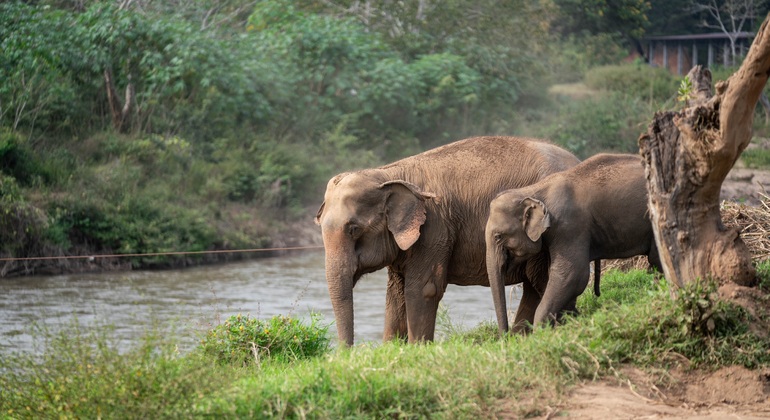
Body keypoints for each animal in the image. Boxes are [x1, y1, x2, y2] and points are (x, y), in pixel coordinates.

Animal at [315, 136, 581, 345]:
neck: (388, 173)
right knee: (535, 285)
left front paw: (417, 350)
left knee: (543, 282)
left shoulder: (435, 228)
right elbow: (396, 292)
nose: (345, 354)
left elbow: (422, 290)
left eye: (354, 229)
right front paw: (392, 349)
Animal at [485, 153, 662, 334]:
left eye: (498, 236)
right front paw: (568, 320)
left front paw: (542, 331)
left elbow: (573, 274)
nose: (505, 336)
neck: (533, 190)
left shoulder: (570, 226)